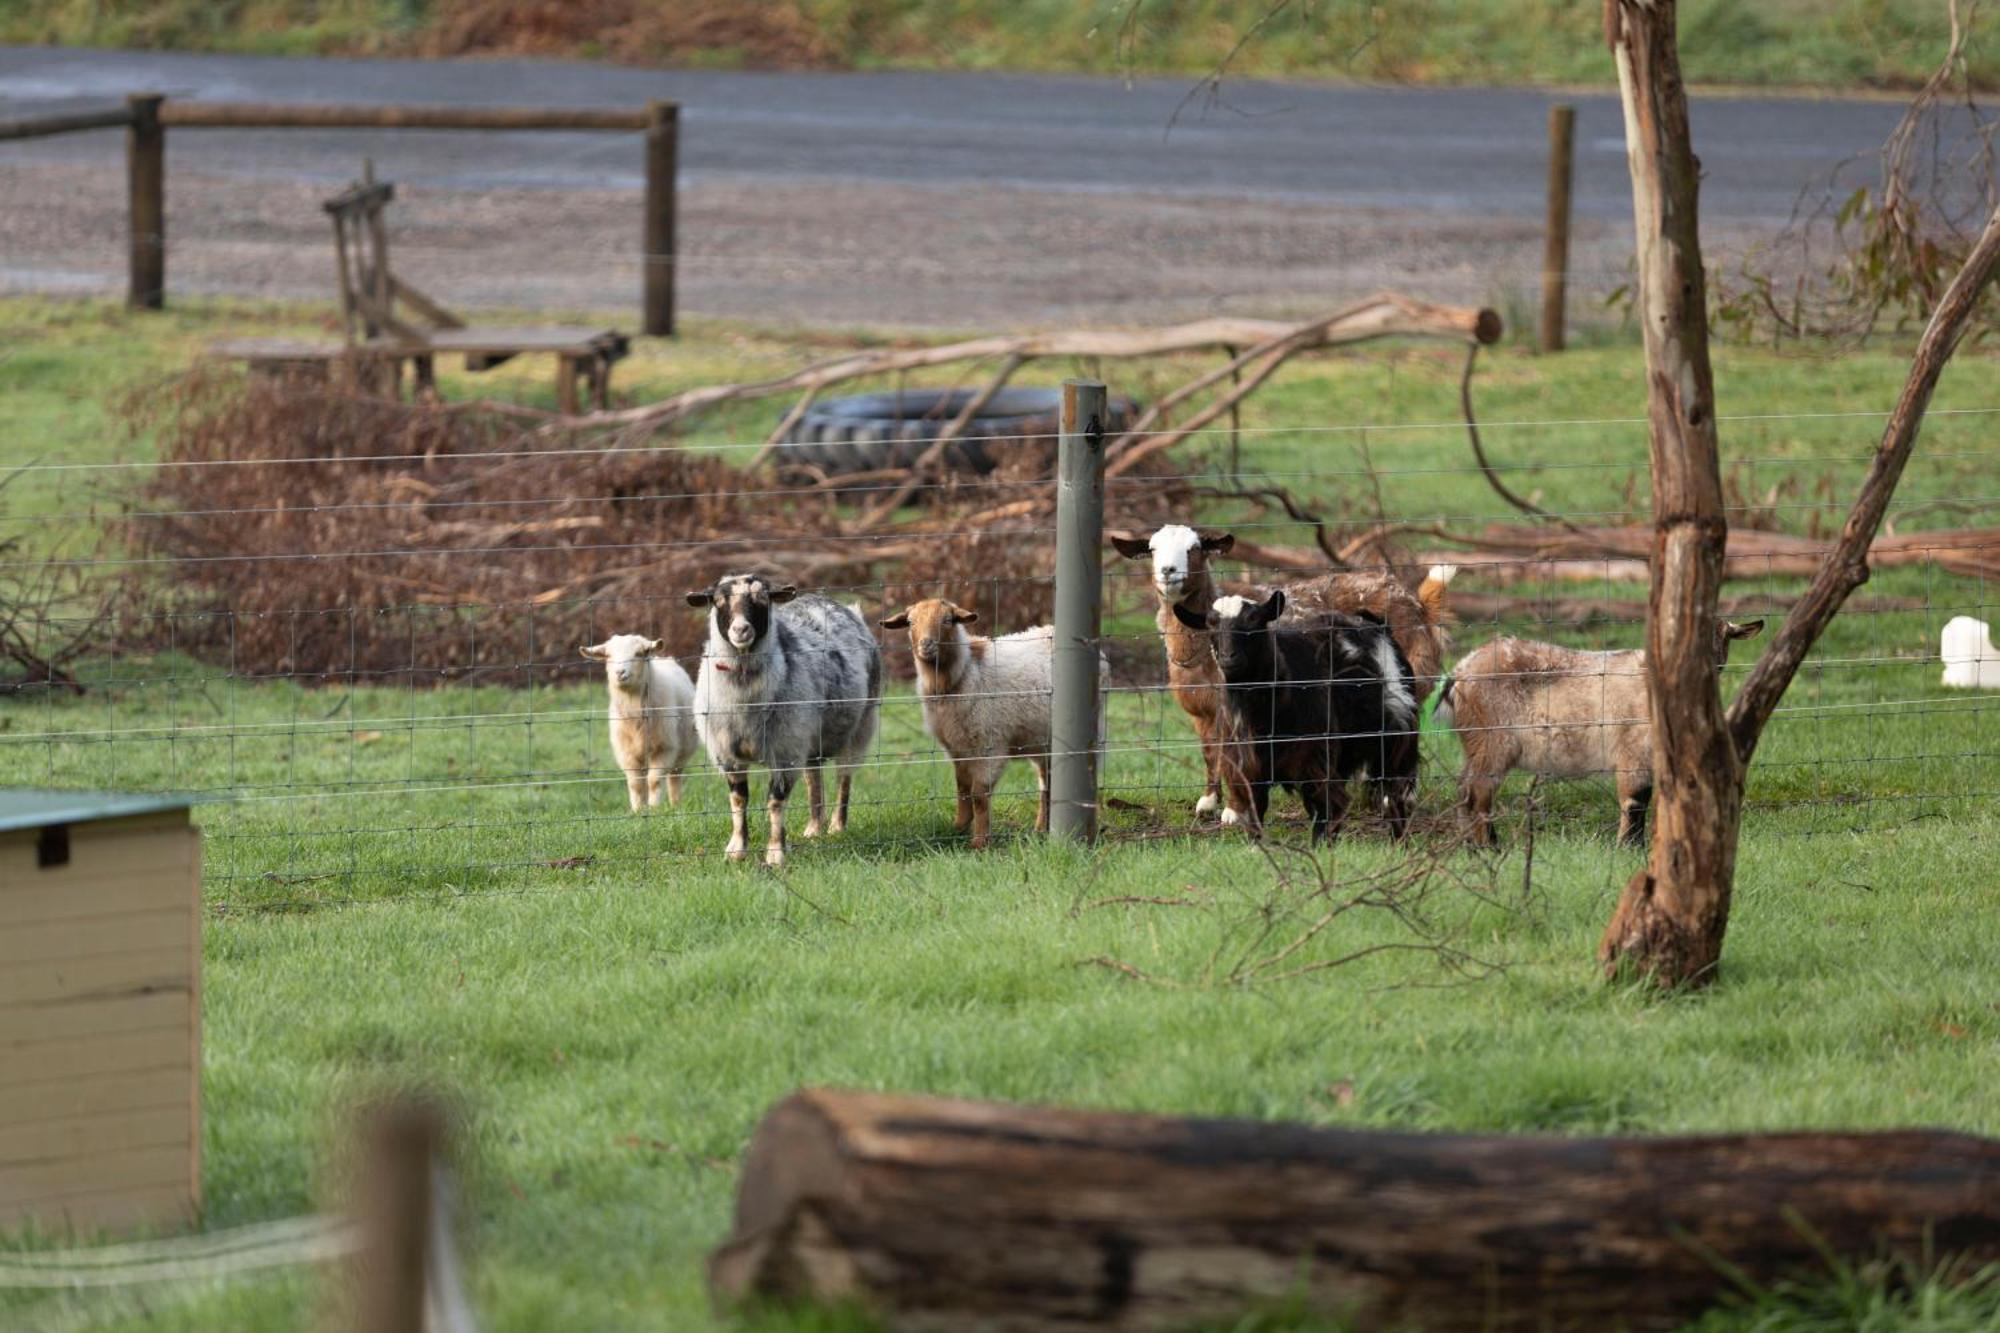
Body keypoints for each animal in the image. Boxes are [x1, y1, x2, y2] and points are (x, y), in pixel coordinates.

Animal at [584, 632, 700, 808]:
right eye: (608, 656)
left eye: (638, 654)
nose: (620, 672)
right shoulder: (626, 753)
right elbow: (635, 784)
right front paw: (638, 810)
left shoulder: (665, 748)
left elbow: (654, 781)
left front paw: (654, 809)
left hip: (683, 749)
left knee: (674, 777)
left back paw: (676, 805)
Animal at [1168, 588, 1424, 836]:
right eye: (1210, 624)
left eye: (1254, 620)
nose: (1228, 658)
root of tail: (1375, 624)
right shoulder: (1248, 768)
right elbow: (1255, 813)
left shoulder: (1312, 759)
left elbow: (1327, 808)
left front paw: (1321, 844)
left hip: (1396, 734)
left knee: (1394, 794)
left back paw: (1399, 839)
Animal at [1440, 620, 1768, 844]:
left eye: (1724, 638)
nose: (1706, 668)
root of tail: (1459, 673)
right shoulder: (1633, 751)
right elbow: (1635, 801)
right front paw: (1628, 847)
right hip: (1492, 741)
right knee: (1479, 792)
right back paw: (1490, 846)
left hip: (1476, 743)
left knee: (1463, 789)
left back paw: (1472, 846)